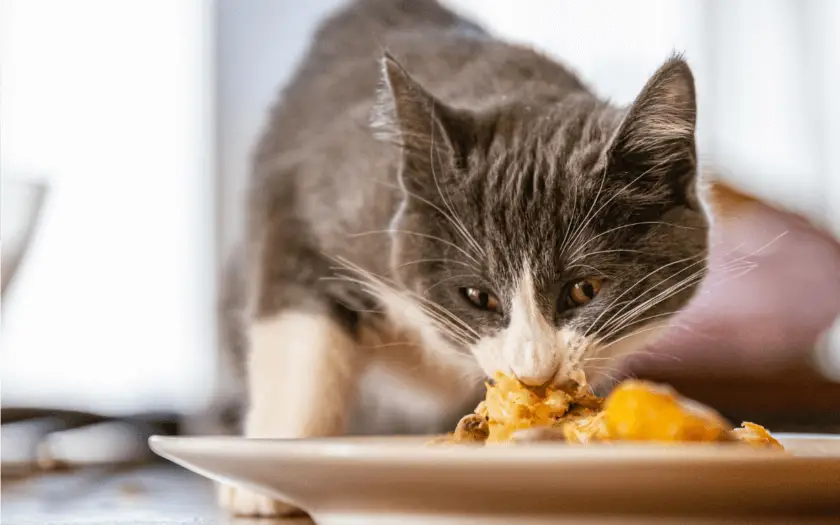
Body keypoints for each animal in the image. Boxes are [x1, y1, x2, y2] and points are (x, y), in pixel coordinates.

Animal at [218, 0, 708, 516]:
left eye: (584, 289)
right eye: (478, 295)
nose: (534, 373)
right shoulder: (307, 199)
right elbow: (299, 340)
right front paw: (265, 476)